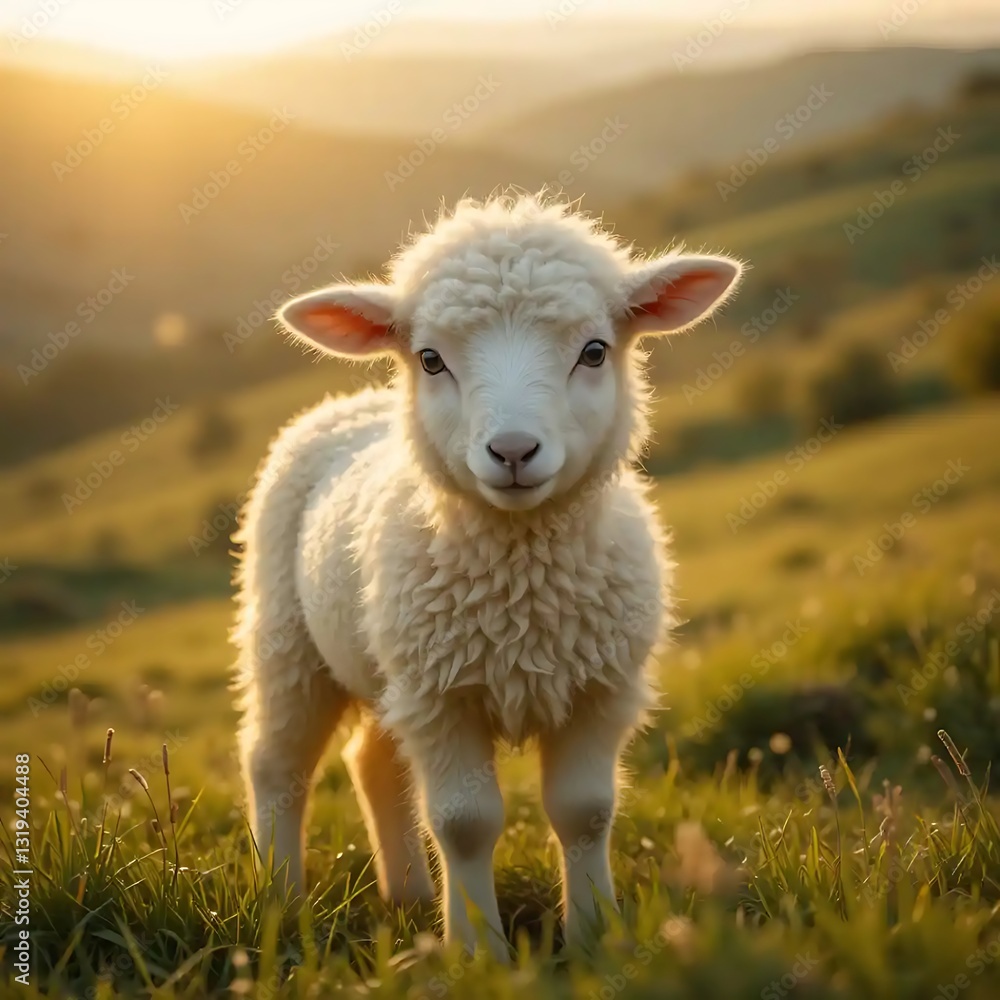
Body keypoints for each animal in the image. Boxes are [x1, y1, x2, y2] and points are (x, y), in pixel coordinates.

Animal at [233, 192, 743, 958]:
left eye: (595, 351)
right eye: (430, 359)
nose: (513, 451)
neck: (520, 586)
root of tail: (349, 405)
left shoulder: (599, 688)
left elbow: (587, 812)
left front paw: (593, 937)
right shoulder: (443, 698)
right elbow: (465, 823)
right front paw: (479, 954)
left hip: (388, 667)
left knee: (372, 763)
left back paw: (409, 898)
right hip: (287, 639)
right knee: (277, 766)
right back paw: (281, 905)